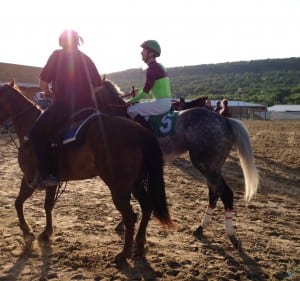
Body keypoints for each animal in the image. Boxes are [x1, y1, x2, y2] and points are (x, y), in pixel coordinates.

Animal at [0, 80, 172, 258]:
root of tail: (138, 129)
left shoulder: (29, 177)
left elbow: (18, 202)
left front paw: (26, 230)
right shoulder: (50, 180)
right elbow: (47, 205)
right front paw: (46, 232)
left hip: (118, 186)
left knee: (130, 216)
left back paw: (124, 253)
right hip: (135, 183)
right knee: (146, 206)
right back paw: (139, 242)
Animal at [95, 77, 258, 246]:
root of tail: (224, 120)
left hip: (206, 165)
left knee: (225, 194)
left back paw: (230, 235)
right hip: (212, 167)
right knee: (214, 193)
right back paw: (201, 228)